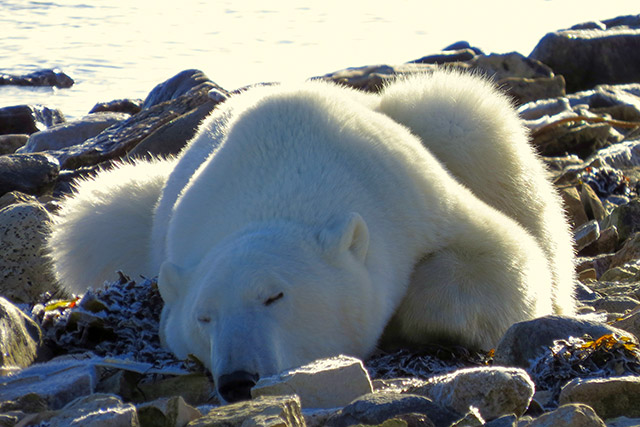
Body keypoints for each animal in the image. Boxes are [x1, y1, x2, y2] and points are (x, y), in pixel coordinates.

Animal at [47, 70, 575, 403]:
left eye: (275, 296)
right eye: (204, 317)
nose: (238, 379)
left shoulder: (411, 196)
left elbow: (504, 251)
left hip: (450, 129)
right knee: (93, 221)